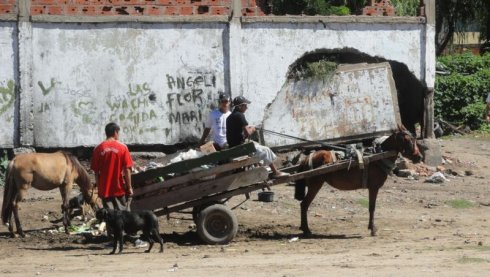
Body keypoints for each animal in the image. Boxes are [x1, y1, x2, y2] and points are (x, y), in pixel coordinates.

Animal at [292, 125, 424, 235]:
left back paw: (304, 228)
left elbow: (371, 207)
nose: (419, 157)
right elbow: (372, 207)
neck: (378, 157)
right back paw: (306, 230)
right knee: (304, 204)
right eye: (407, 139)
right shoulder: (374, 187)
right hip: (315, 184)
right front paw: (372, 229)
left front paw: (371, 227)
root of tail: (307, 157)